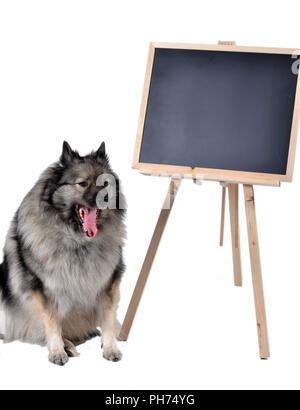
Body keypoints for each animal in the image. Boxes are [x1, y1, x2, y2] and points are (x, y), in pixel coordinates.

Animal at [0, 143, 125, 366]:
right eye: (82, 184)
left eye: (105, 184)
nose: (105, 199)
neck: (78, 241)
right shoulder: (45, 291)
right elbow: (52, 323)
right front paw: (57, 351)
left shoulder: (108, 284)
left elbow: (108, 318)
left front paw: (110, 347)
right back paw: (67, 344)